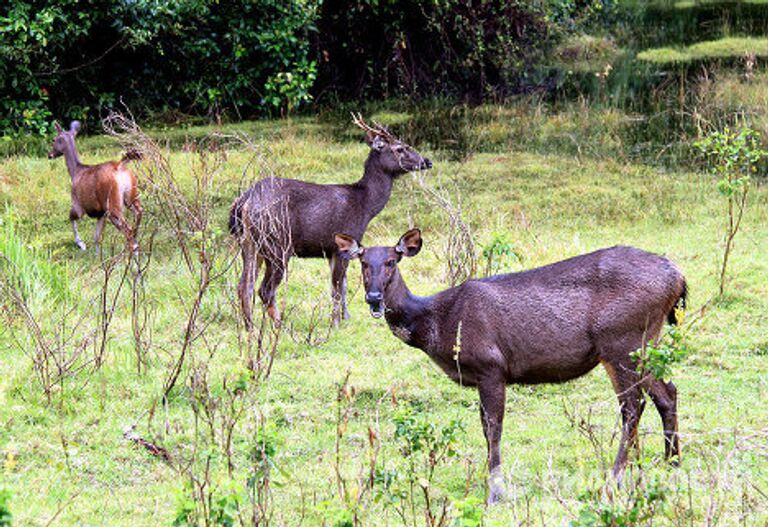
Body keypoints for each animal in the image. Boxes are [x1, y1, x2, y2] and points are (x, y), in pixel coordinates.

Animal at [228, 114, 432, 330]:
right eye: (400, 148)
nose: (427, 161)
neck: (365, 205)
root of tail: (245, 201)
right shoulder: (341, 244)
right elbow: (336, 288)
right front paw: (334, 323)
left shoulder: (333, 250)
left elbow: (343, 286)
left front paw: (346, 317)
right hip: (277, 244)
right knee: (264, 289)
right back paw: (278, 326)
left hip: (250, 244)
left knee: (244, 285)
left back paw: (249, 326)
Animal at [332, 229, 688, 506]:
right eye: (363, 262)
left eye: (392, 261)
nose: (374, 298)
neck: (437, 324)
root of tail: (678, 278)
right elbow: (484, 428)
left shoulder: (491, 366)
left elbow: (494, 428)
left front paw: (495, 492)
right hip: (643, 345)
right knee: (667, 392)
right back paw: (671, 463)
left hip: (622, 342)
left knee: (633, 407)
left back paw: (615, 479)